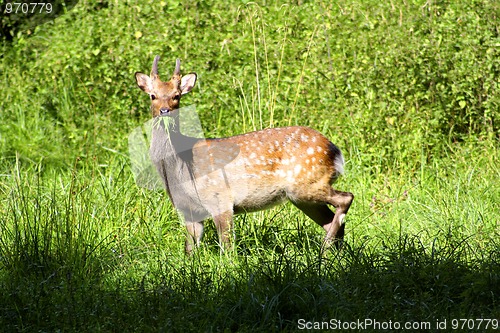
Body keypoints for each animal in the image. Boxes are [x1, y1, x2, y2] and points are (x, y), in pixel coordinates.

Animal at [135, 56, 354, 254]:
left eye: (176, 95)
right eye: (153, 95)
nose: (165, 111)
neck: (180, 169)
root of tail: (335, 150)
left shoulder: (220, 198)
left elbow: (227, 246)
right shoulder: (187, 209)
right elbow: (190, 249)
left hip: (307, 183)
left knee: (346, 198)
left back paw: (325, 250)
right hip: (302, 195)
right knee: (330, 220)